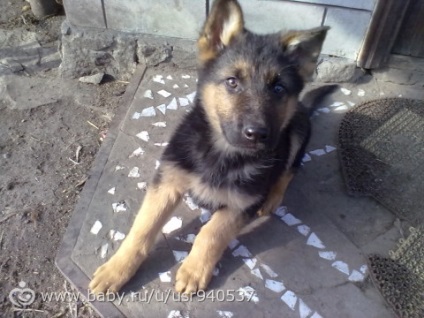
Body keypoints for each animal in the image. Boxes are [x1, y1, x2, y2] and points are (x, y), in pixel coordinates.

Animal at [91, 0, 336, 294]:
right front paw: (117, 269)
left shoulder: (242, 204)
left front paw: (194, 270)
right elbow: (143, 227)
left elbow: (211, 233)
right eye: (232, 82)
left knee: (290, 169)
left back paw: (273, 197)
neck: (221, 153)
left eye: (278, 88)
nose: (257, 134)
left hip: (297, 129)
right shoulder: (168, 180)